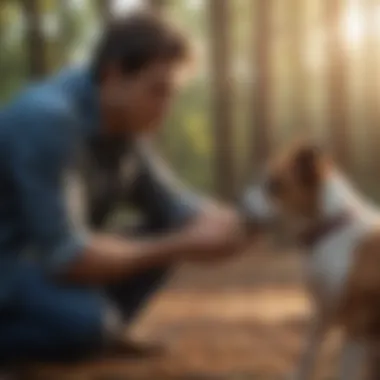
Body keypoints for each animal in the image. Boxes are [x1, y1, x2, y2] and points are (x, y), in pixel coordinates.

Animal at [242, 143, 380, 380]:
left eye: (273, 185)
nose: (239, 204)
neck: (330, 229)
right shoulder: (321, 311)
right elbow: (308, 353)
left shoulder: (355, 325)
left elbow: (345, 371)